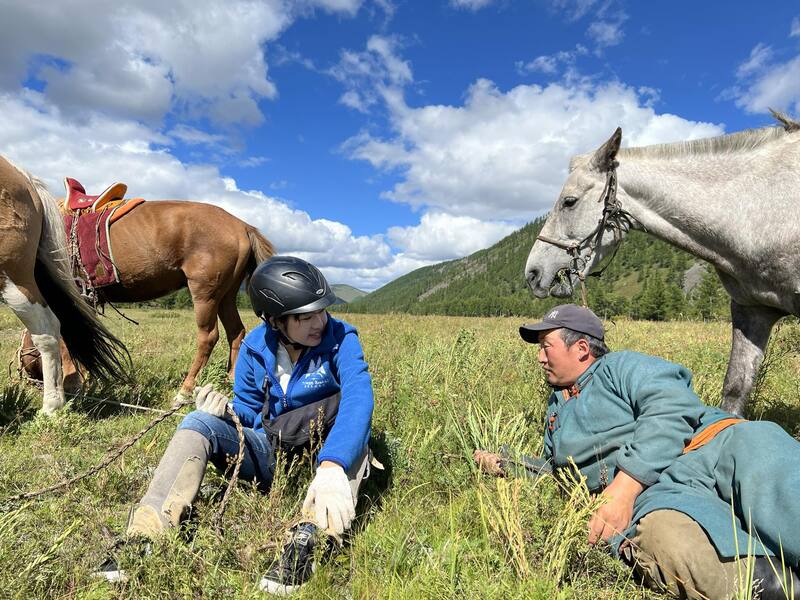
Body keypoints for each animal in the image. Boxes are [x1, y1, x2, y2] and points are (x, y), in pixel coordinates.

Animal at [21, 199, 276, 400]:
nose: (28, 376)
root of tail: (242, 226)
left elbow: (68, 341)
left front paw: (72, 384)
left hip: (206, 293)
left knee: (209, 337)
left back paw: (186, 389)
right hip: (226, 295)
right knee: (236, 333)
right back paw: (233, 380)